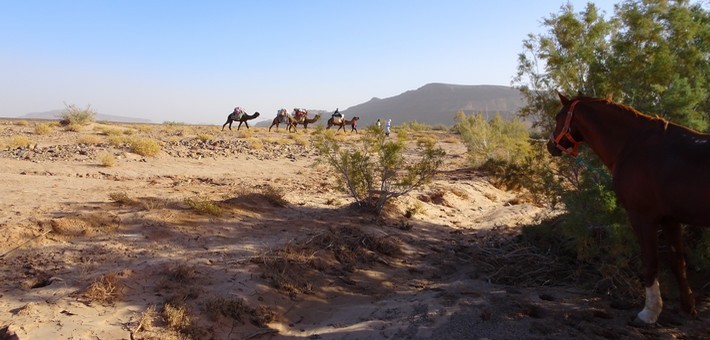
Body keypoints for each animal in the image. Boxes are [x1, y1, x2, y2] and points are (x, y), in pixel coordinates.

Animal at [548, 93, 708, 324]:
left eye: (558, 117)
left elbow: (650, 262)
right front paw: (688, 308)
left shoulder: (643, 217)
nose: (550, 145)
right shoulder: (670, 219)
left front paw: (649, 312)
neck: (633, 145)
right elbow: (678, 263)